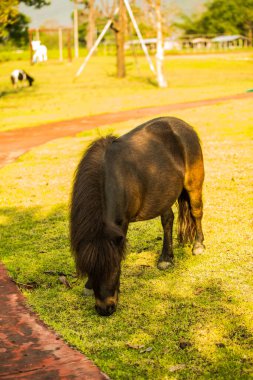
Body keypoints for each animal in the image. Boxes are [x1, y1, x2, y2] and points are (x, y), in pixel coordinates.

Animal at [70, 117, 205, 316]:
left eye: (116, 266)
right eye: (89, 269)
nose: (105, 309)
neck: (111, 176)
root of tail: (184, 125)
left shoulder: (122, 223)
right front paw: (88, 286)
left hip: (193, 185)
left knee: (196, 212)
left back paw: (198, 245)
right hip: (164, 194)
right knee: (168, 220)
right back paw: (166, 258)